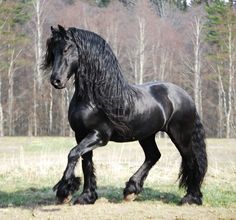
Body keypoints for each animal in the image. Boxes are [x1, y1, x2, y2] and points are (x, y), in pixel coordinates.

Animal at [42, 24, 206, 205]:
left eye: (66, 49)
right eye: (52, 51)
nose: (56, 81)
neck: (94, 98)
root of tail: (186, 96)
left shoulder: (99, 136)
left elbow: (72, 154)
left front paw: (65, 191)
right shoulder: (81, 134)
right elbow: (86, 163)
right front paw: (86, 196)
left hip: (180, 136)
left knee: (191, 162)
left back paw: (191, 197)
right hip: (146, 135)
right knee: (153, 155)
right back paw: (131, 190)